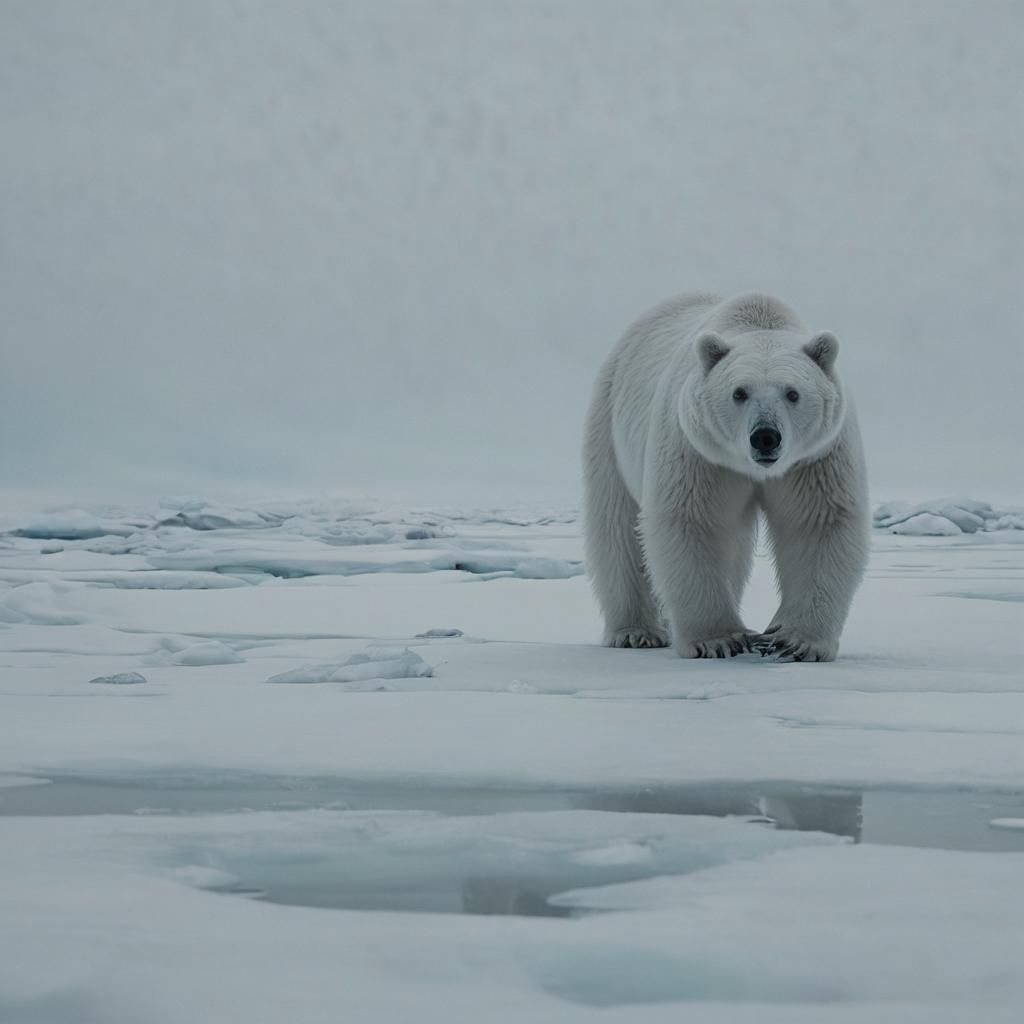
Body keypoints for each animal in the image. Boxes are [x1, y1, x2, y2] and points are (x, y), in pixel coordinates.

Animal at [582, 291, 869, 662]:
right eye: (739, 392)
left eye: (792, 393)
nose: (765, 436)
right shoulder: (699, 451)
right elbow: (694, 520)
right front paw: (719, 639)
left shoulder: (815, 459)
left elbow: (817, 524)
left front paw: (793, 641)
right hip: (610, 424)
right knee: (618, 528)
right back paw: (636, 632)